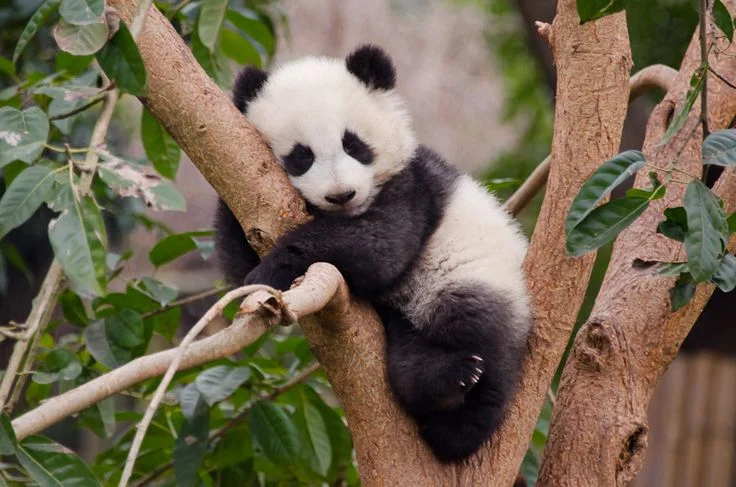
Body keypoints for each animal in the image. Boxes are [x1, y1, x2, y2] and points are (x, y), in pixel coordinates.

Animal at [214, 45, 531, 463]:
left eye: (354, 145)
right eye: (302, 155)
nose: (341, 195)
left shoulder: (410, 189)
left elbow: (380, 247)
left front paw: (273, 268)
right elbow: (238, 259)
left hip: (472, 279)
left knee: (476, 332)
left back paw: (458, 415)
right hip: (401, 323)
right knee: (408, 362)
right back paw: (444, 383)